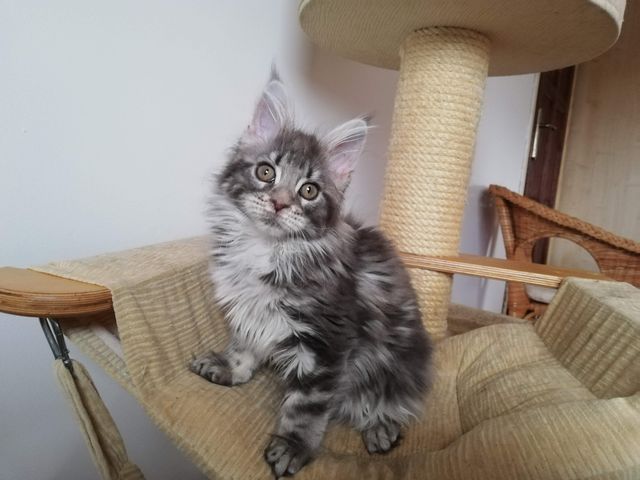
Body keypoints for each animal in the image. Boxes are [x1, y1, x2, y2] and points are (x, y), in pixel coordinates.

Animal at [190, 69, 433, 478]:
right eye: (266, 172)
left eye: (309, 191)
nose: (279, 202)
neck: (267, 249)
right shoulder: (248, 310)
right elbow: (244, 344)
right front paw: (230, 368)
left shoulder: (327, 342)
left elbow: (306, 405)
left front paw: (293, 446)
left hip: (398, 360)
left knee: (391, 398)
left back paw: (381, 428)